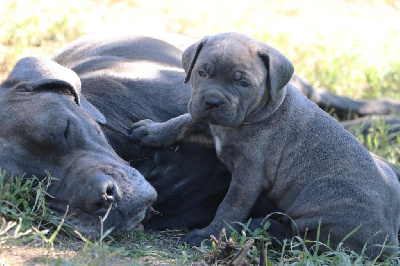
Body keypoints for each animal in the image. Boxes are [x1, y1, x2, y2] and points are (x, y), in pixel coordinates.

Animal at [131, 32, 400, 258]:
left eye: (243, 84)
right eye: (202, 73)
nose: (212, 101)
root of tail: (390, 239)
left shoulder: (248, 178)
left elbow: (229, 208)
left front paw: (209, 237)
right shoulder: (211, 128)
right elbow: (184, 121)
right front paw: (153, 131)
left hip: (324, 201)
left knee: (300, 239)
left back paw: (261, 225)